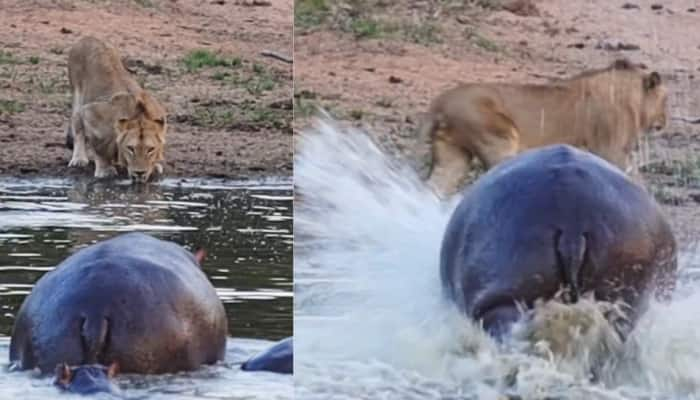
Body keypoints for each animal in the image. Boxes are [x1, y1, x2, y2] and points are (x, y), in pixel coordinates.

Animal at [65, 36, 167, 184]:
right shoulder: (90, 112)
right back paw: (79, 159)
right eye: (131, 148)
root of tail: (88, 37)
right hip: (78, 96)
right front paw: (105, 170)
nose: (140, 173)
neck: (139, 115)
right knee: (77, 126)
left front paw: (155, 165)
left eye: (150, 149)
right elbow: (100, 149)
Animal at [418, 59, 668, 195]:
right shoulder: (611, 150)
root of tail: (440, 103)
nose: (665, 122)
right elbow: (633, 180)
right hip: (499, 140)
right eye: (665, 100)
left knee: (434, 187)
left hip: (452, 156)